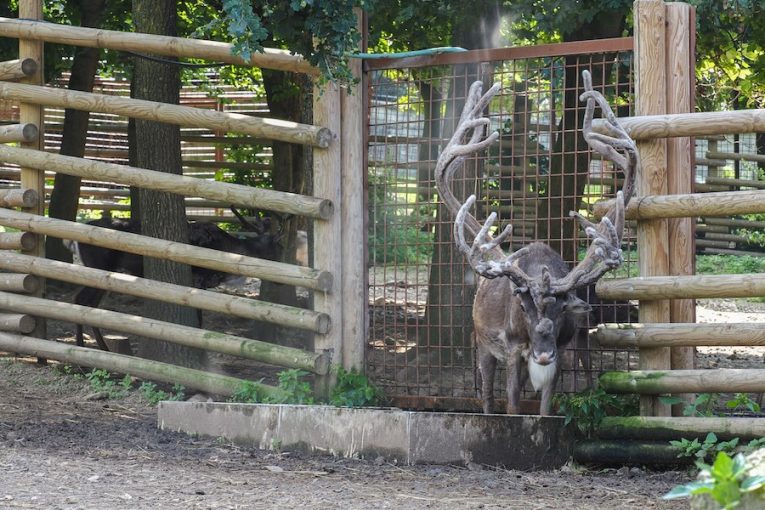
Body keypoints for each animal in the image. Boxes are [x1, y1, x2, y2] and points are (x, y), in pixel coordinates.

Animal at [435, 70, 638, 415]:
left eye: (562, 308)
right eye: (522, 306)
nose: (542, 353)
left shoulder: (563, 346)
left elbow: (545, 407)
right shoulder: (513, 348)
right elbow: (511, 404)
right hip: (481, 341)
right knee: (486, 395)